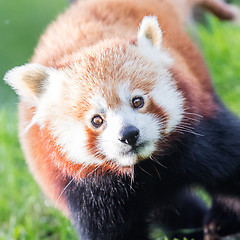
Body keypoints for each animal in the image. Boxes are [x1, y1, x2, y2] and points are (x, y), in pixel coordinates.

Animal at [3, 0, 240, 240]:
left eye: (137, 101)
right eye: (97, 120)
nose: (129, 134)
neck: (144, 169)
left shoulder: (198, 136)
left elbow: (230, 168)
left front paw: (224, 218)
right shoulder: (89, 191)